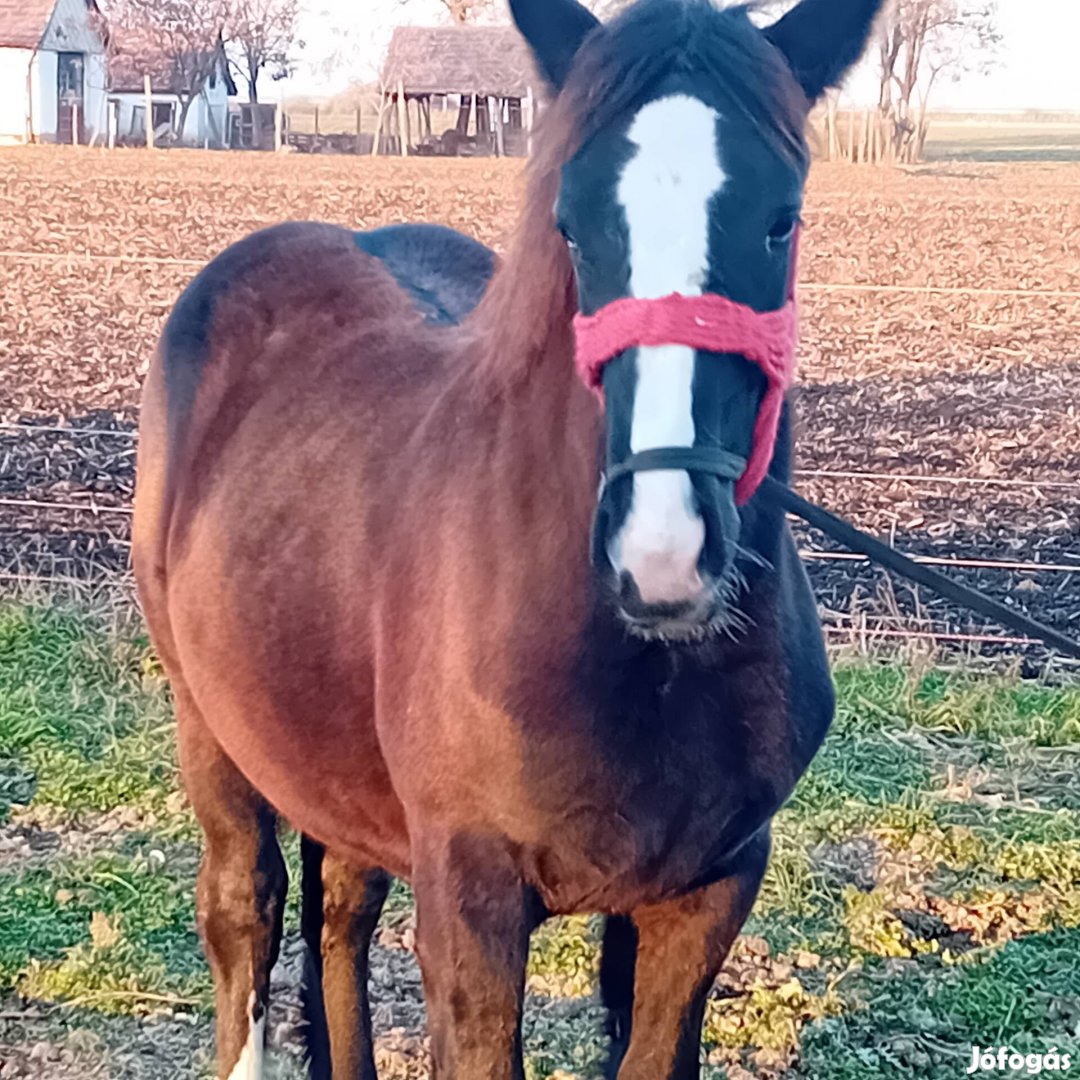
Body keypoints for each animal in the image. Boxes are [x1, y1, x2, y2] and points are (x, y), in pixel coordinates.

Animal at [132, 0, 885, 1075]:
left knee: (341, 917)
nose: (661, 554)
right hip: (209, 724)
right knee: (248, 915)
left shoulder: (707, 893)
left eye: (781, 219)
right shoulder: (471, 905)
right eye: (570, 224)